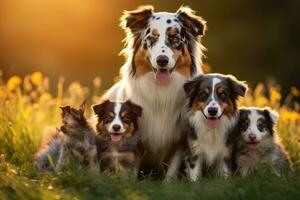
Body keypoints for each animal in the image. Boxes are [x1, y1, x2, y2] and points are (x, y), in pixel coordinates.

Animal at [102, 5, 206, 180]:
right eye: (151, 38)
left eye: (175, 39)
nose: (162, 60)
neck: (161, 92)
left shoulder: (180, 137)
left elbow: (172, 168)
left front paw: (168, 184)